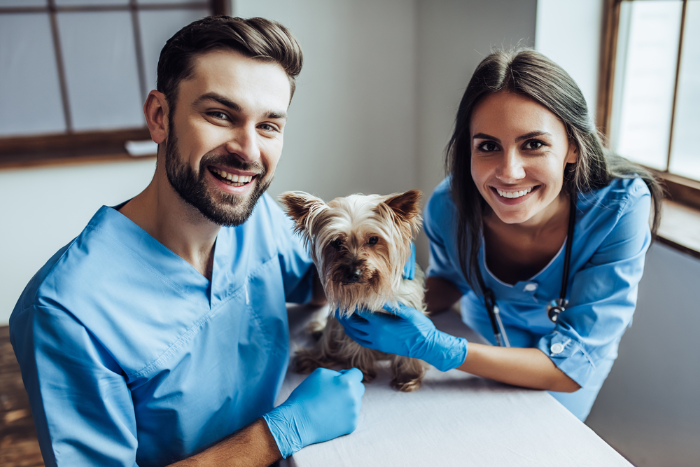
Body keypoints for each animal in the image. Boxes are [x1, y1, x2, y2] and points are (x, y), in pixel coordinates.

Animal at [278, 189, 426, 392]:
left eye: (373, 239)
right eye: (335, 242)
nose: (353, 273)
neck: (367, 289)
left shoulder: (408, 314)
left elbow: (409, 346)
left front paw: (408, 376)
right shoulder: (354, 320)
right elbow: (356, 343)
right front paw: (362, 371)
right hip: (333, 325)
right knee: (325, 344)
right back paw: (312, 359)